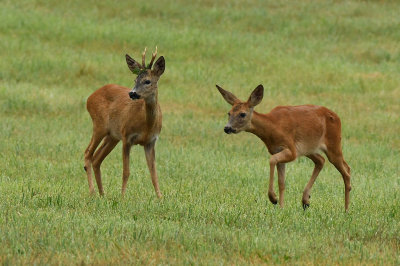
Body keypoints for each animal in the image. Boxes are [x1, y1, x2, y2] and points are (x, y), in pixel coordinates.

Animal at [83, 47, 165, 197]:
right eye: (135, 79)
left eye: (147, 81)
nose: (132, 93)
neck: (147, 125)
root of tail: (89, 98)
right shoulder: (127, 136)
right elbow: (126, 172)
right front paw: (122, 197)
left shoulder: (151, 141)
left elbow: (154, 173)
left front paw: (160, 197)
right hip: (99, 125)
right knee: (88, 154)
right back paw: (93, 193)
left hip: (113, 136)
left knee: (97, 159)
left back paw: (102, 194)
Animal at [217, 84, 352, 211]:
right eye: (229, 113)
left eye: (242, 114)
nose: (227, 128)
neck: (272, 127)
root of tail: (337, 117)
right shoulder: (278, 150)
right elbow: (281, 182)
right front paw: (281, 207)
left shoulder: (291, 149)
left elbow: (272, 161)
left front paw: (273, 198)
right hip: (309, 148)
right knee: (321, 160)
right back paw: (306, 200)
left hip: (334, 143)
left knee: (346, 171)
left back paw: (346, 209)